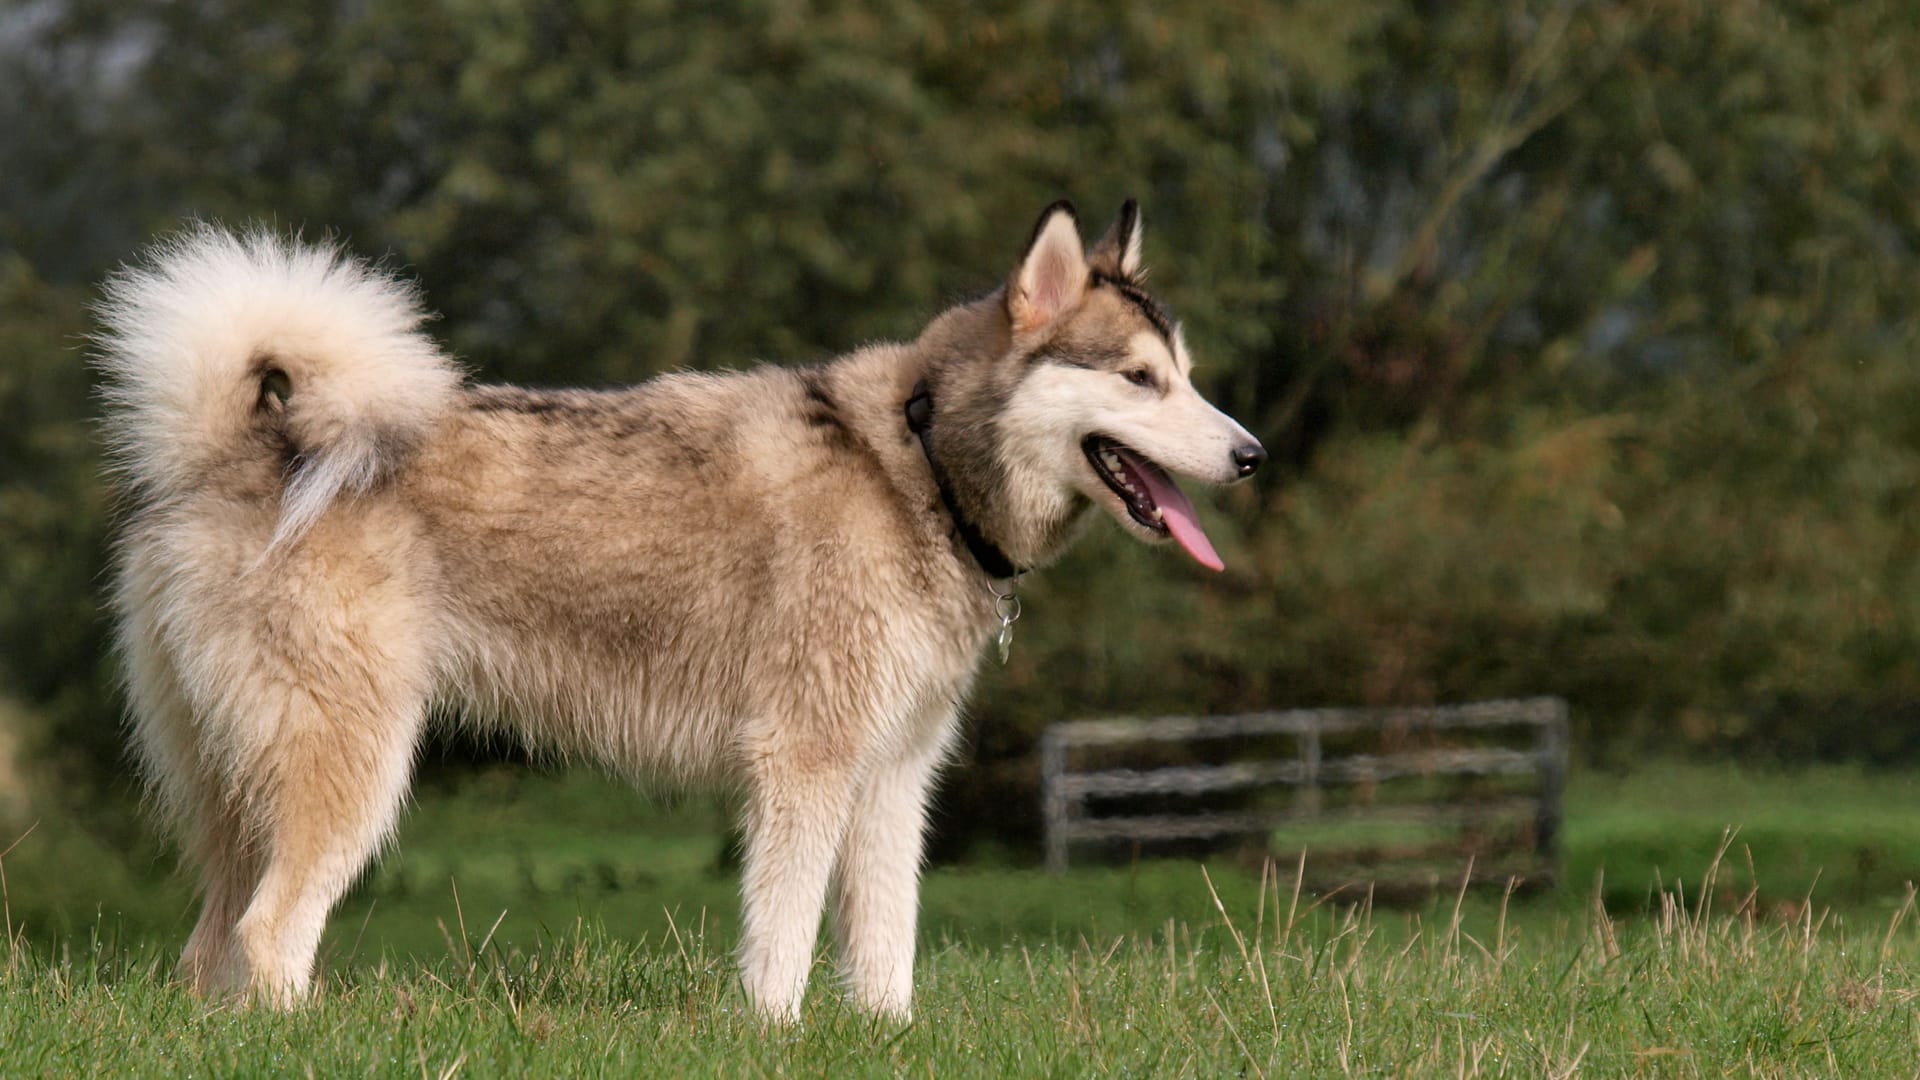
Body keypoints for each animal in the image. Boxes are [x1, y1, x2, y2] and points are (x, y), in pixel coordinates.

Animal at [93, 201, 1259, 1014]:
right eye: (1140, 379)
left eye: (1187, 374)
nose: (1252, 455)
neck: (917, 469)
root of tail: (237, 448)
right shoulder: (805, 761)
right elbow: (783, 938)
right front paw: (777, 1034)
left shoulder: (894, 777)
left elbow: (887, 945)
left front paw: (885, 1035)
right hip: (353, 773)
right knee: (269, 935)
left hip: (242, 794)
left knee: (209, 948)